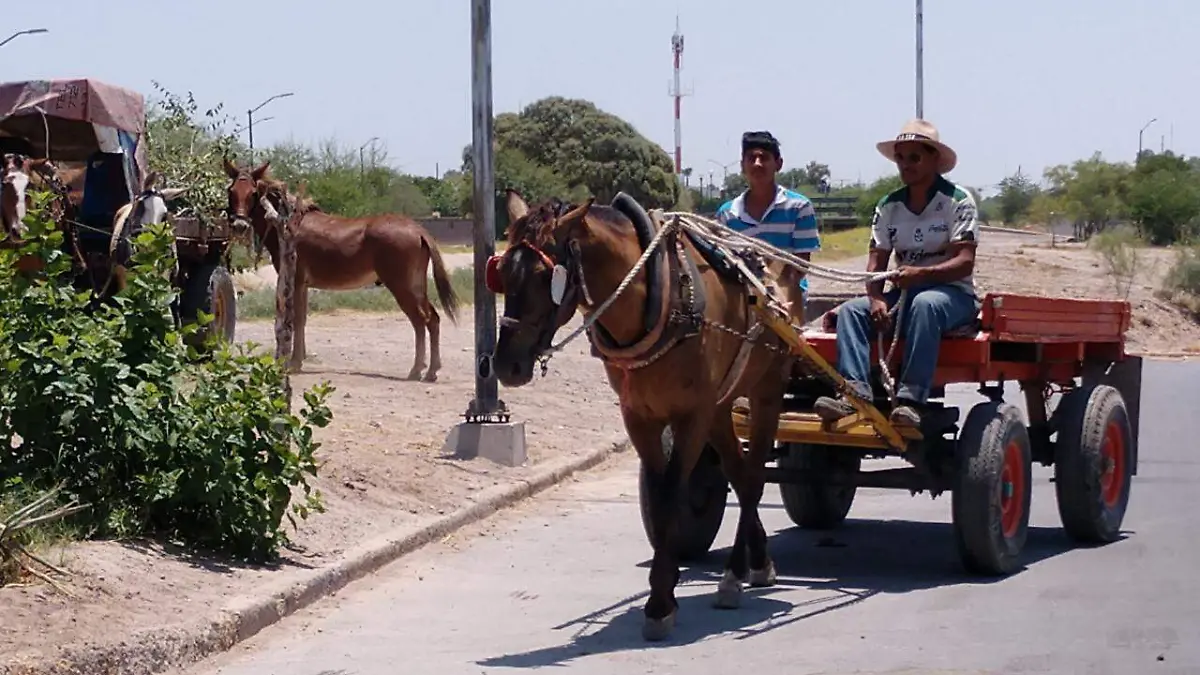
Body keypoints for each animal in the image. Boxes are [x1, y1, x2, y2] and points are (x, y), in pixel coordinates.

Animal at [225, 158, 463, 379]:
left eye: (253, 193)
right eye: (231, 191)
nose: (240, 226)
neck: (284, 222)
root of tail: (418, 230)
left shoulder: (296, 280)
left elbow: (297, 320)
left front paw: (294, 363)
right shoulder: (304, 284)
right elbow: (303, 319)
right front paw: (299, 359)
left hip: (400, 285)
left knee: (419, 321)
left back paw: (417, 370)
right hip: (416, 285)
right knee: (433, 319)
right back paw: (431, 370)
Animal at [492, 189, 801, 634]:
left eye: (544, 277)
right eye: (500, 273)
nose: (505, 366)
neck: (664, 297)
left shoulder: (691, 416)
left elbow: (673, 491)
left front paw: (658, 603)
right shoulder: (638, 415)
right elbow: (658, 494)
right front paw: (666, 583)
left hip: (766, 392)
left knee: (755, 476)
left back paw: (737, 571)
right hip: (720, 405)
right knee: (741, 476)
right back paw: (748, 565)